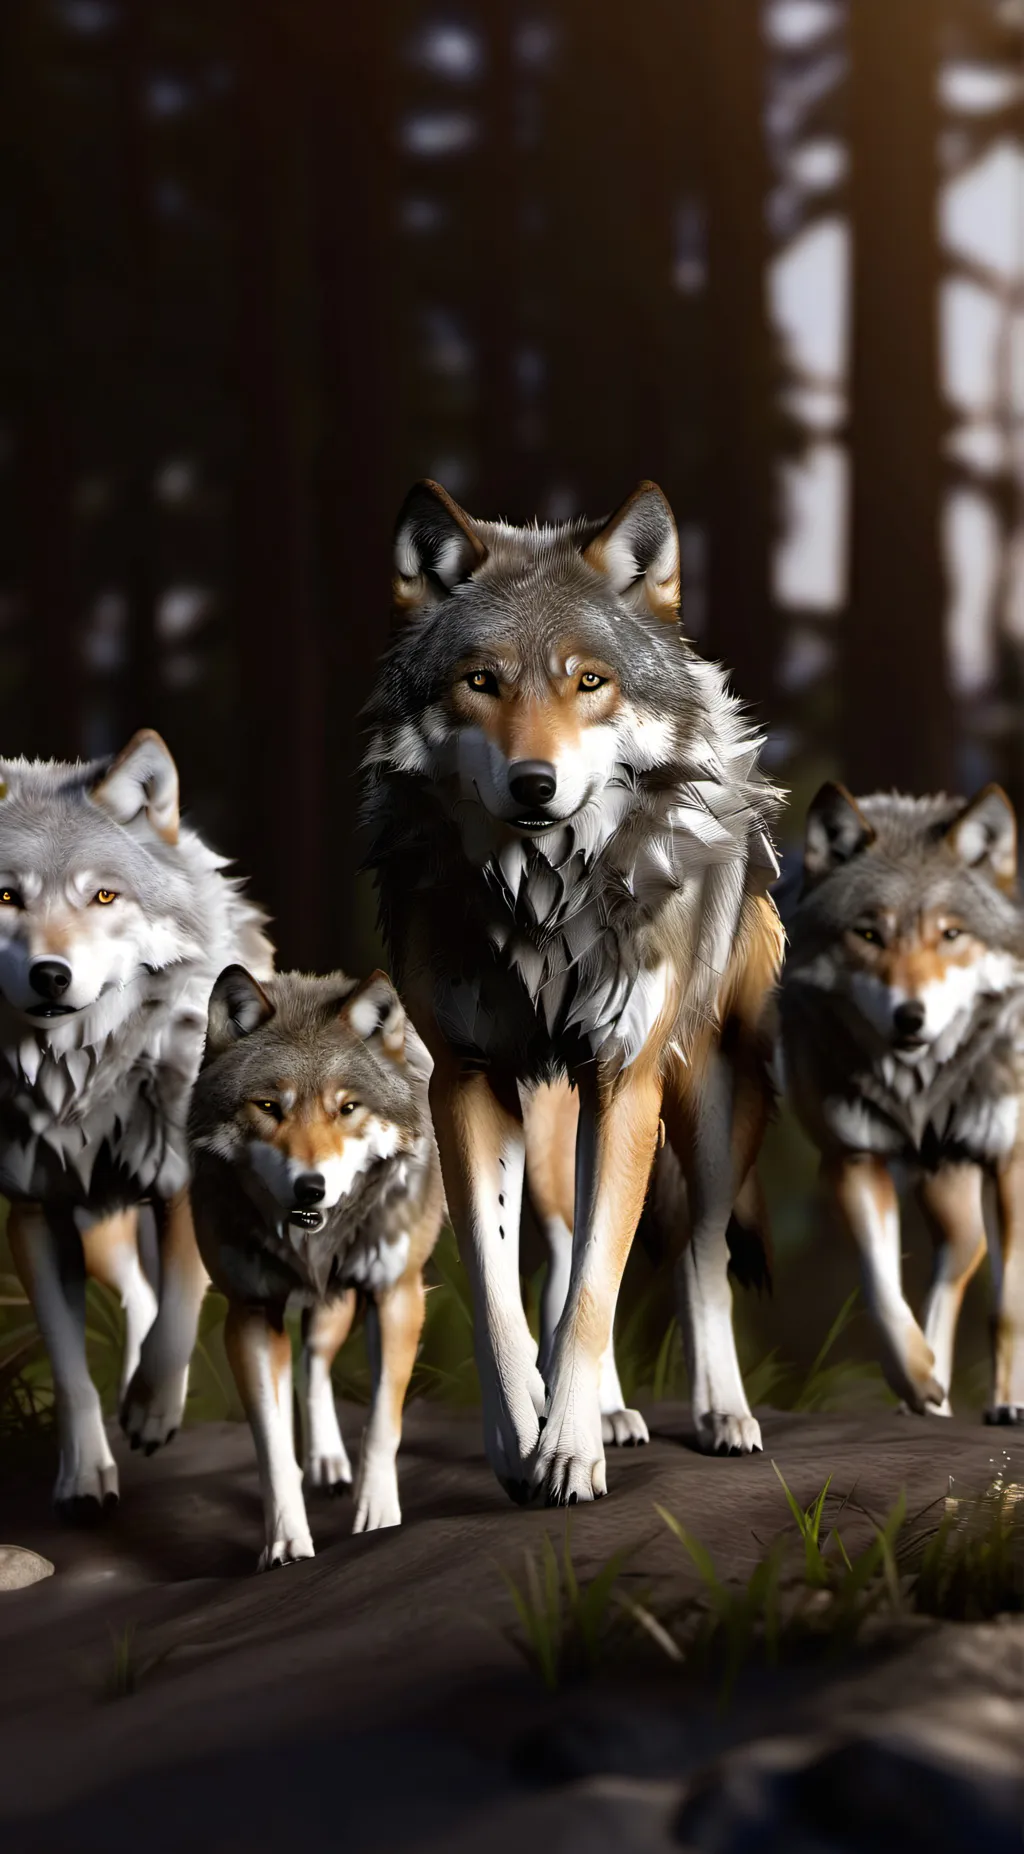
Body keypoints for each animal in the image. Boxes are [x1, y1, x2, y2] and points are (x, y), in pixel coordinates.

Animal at [0, 730, 272, 1511]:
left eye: (103, 895)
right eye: (6, 896)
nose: (51, 974)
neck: (80, 1081)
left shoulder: (185, 1184)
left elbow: (180, 1312)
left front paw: (154, 1408)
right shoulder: (35, 1214)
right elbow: (69, 1367)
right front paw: (85, 1472)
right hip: (99, 1229)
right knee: (137, 1293)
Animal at [188, 965, 444, 1567]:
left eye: (346, 1108)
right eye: (267, 1107)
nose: (311, 1187)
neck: (312, 1248)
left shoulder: (397, 1294)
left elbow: (382, 1423)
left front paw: (378, 1516)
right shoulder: (251, 1313)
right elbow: (272, 1445)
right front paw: (285, 1541)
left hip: (351, 1304)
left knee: (319, 1359)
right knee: (307, 1365)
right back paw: (324, 1461)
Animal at [363, 478, 784, 1506]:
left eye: (588, 683)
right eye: (482, 681)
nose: (534, 783)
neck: (543, 905)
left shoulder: (623, 1077)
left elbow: (602, 1281)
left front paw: (567, 1450)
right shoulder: (467, 1082)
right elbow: (499, 1283)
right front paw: (523, 1431)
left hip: (706, 1109)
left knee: (696, 1253)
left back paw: (718, 1415)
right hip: (551, 1125)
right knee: (558, 1247)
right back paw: (607, 1407)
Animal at [779, 781, 1024, 1421]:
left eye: (950, 934)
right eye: (869, 935)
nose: (910, 1017)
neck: (922, 1087)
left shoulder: (1010, 1163)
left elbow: (1007, 1307)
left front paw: (1009, 1405)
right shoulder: (852, 1159)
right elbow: (880, 1286)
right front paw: (914, 1378)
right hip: (940, 1181)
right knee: (960, 1254)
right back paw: (931, 1396)